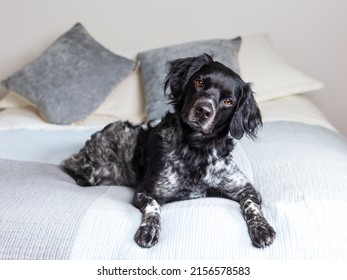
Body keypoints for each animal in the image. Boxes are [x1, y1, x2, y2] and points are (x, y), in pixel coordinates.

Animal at [63, 53, 278, 248]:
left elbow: (252, 206)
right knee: (69, 163)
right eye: (199, 82)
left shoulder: (245, 188)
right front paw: (148, 230)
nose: (203, 110)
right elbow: (153, 207)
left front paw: (262, 227)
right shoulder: (145, 191)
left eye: (228, 101)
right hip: (95, 170)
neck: (196, 150)